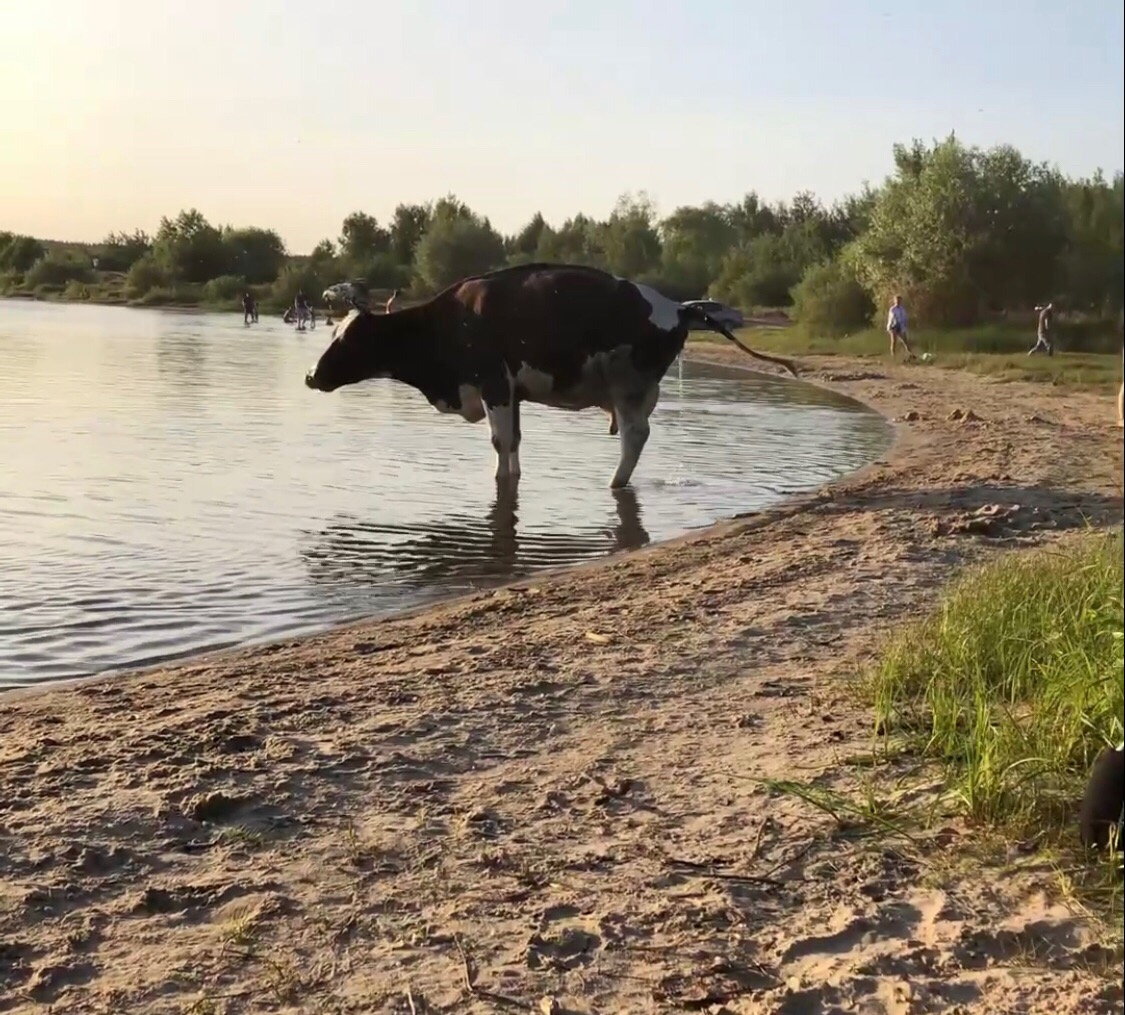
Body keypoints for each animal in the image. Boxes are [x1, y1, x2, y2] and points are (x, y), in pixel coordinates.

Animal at [308, 264, 801, 490]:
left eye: (347, 340)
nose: (311, 375)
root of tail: (677, 306)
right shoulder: (511, 390)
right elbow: (514, 440)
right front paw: (513, 476)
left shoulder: (493, 383)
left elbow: (500, 441)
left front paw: (501, 481)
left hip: (628, 383)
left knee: (635, 435)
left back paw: (615, 483)